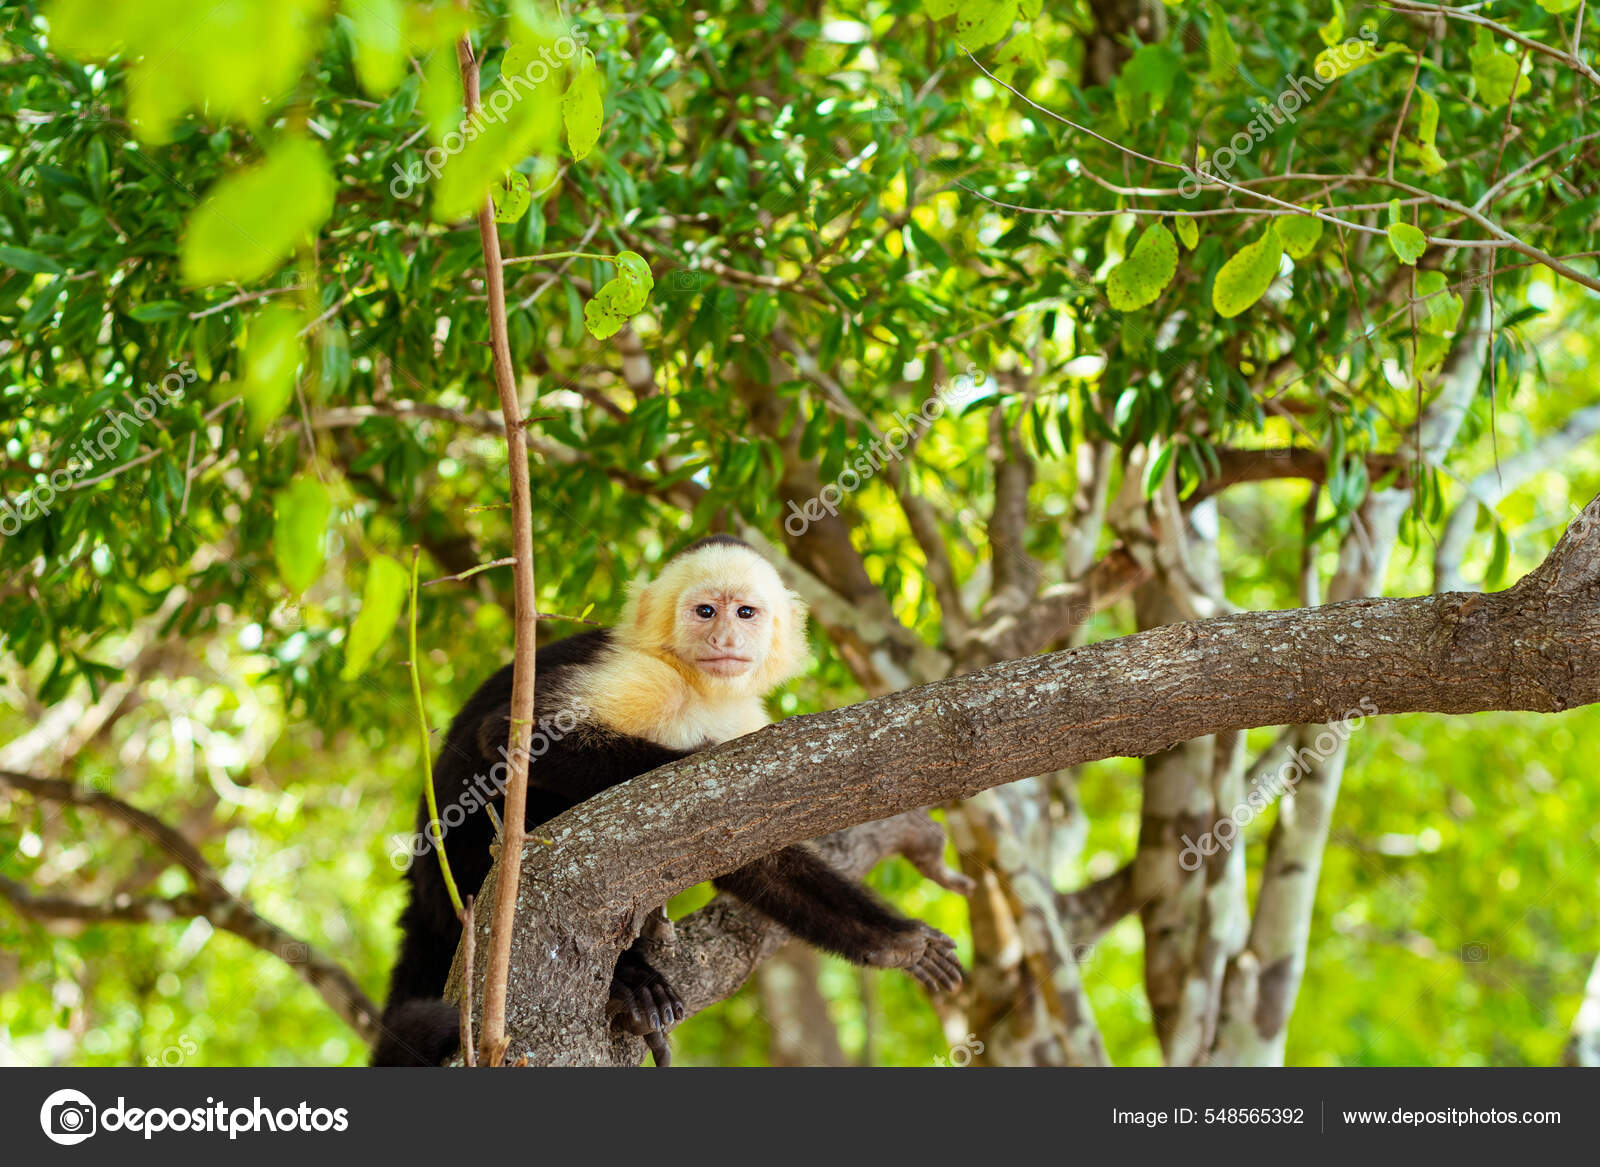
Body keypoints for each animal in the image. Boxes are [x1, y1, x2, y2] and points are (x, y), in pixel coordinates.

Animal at [368, 537, 960, 1062]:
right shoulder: (639, 674)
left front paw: (897, 942)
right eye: (705, 611)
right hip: (461, 872)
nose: (724, 636)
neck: (697, 689)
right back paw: (628, 981)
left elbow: (759, 857)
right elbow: (509, 738)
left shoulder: (744, 718)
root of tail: (422, 889)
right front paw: (698, 755)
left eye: (746, 612)